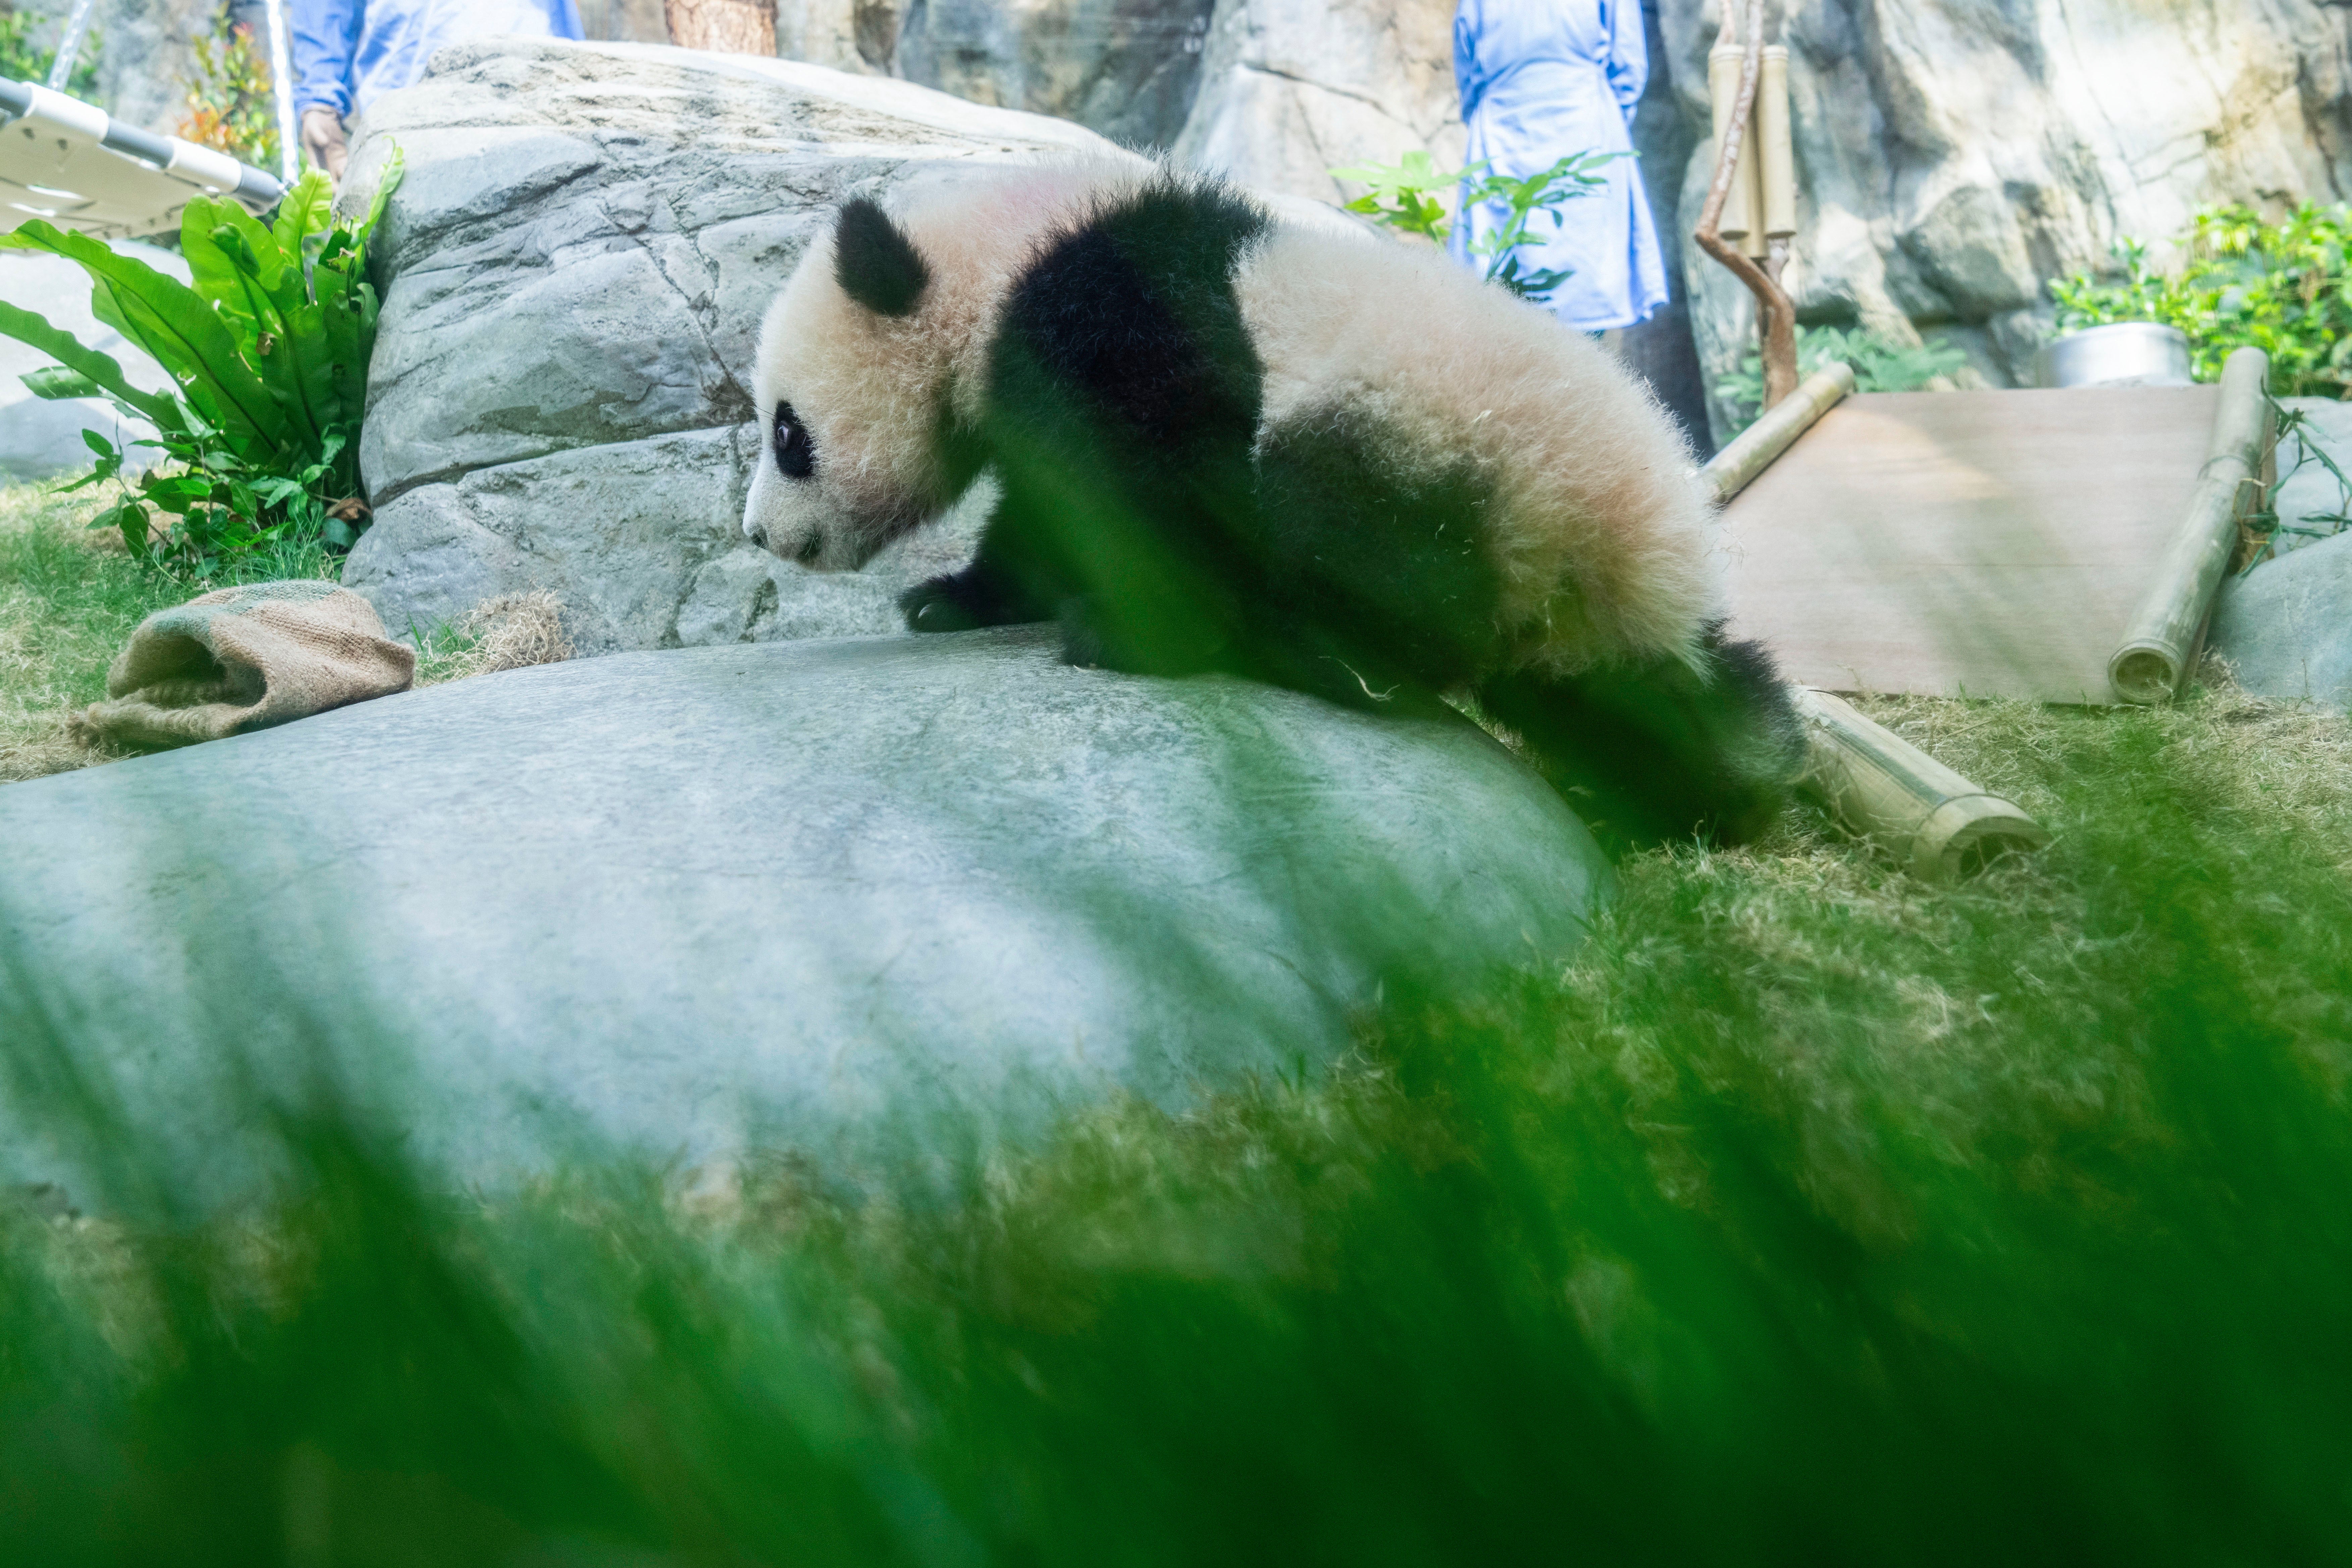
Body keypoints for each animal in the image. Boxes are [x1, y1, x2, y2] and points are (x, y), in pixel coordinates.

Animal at [740, 159, 1804, 848]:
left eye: (787, 434)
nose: (759, 534)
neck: (994, 258)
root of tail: (1642, 551)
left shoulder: (1110, 313)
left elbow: (1154, 479)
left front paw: (1129, 629)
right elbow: (1047, 515)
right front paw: (955, 599)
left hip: (1439, 443)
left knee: (1350, 535)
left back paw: (1313, 651)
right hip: (1590, 620)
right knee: (1660, 703)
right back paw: (1719, 787)